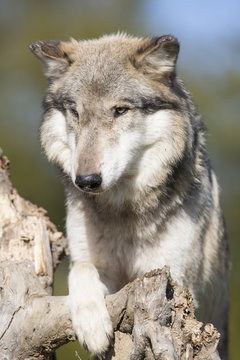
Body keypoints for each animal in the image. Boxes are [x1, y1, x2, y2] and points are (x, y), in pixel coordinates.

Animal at [29, 33, 229, 358]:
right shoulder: (95, 264)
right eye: (75, 112)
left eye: (120, 110)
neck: (123, 210)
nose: (86, 181)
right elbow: (80, 270)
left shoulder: (170, 277)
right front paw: (93, 326)